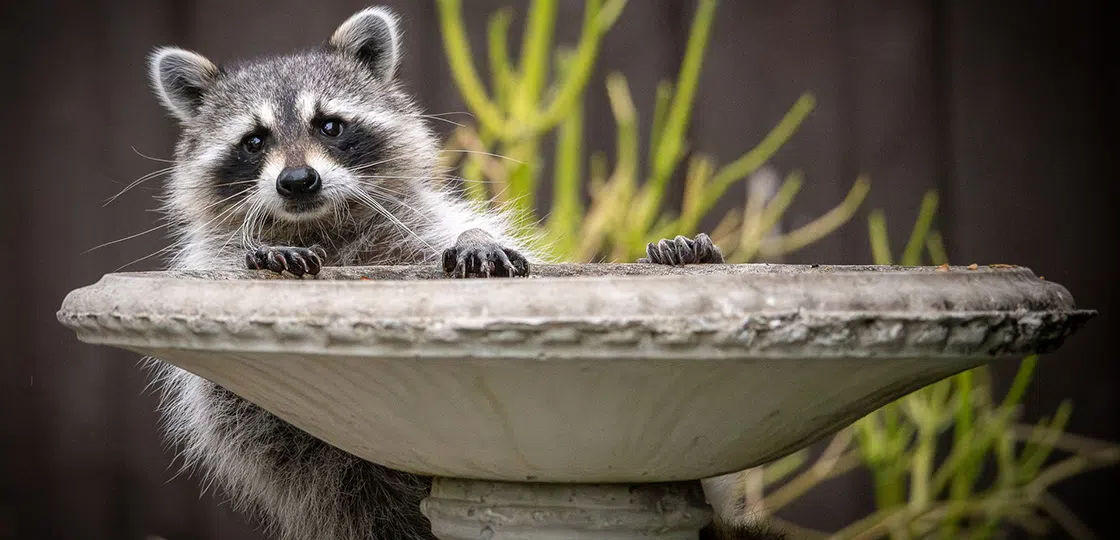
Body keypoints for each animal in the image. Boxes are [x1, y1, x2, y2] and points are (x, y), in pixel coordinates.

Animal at [146, 5, 727, 540]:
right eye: (254, 141)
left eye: (329, 125)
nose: (297, 181)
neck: (320, 223)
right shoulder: (221, 281)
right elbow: (234, 398)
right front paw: (269, 252)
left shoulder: (413, 231)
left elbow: (465, 235)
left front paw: (475, 238)